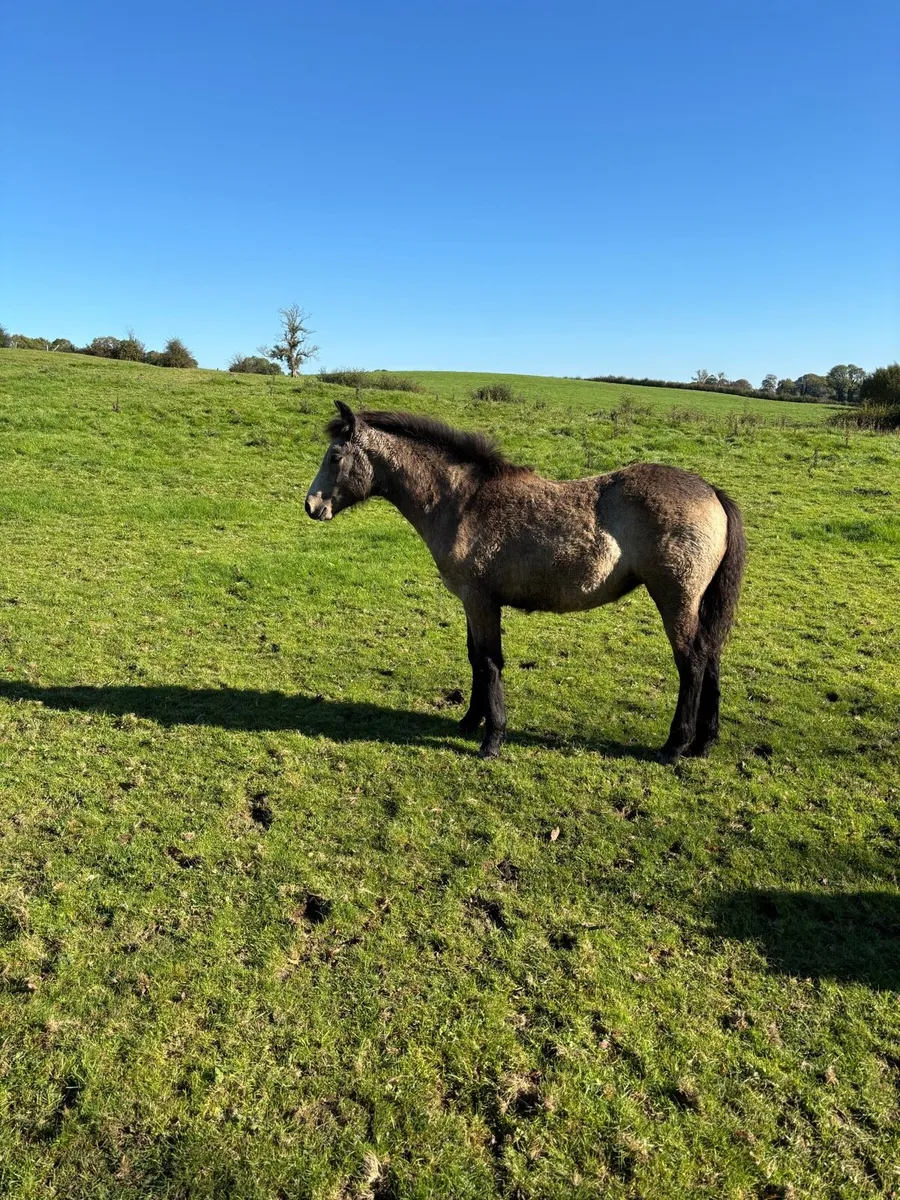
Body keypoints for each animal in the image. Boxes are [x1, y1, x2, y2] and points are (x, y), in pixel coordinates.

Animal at [306, 400, 746, 762]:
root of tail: (711, 490)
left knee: (692, 661)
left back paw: (674, 746)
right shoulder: (472, 602)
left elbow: (489, 662)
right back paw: (703, 743)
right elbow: (475, 658)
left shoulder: (480, 600)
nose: (311, 506)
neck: (464, 502)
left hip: (675, 599)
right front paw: (470, 721)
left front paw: (492, 739)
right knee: (711, 655)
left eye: (335, 455)